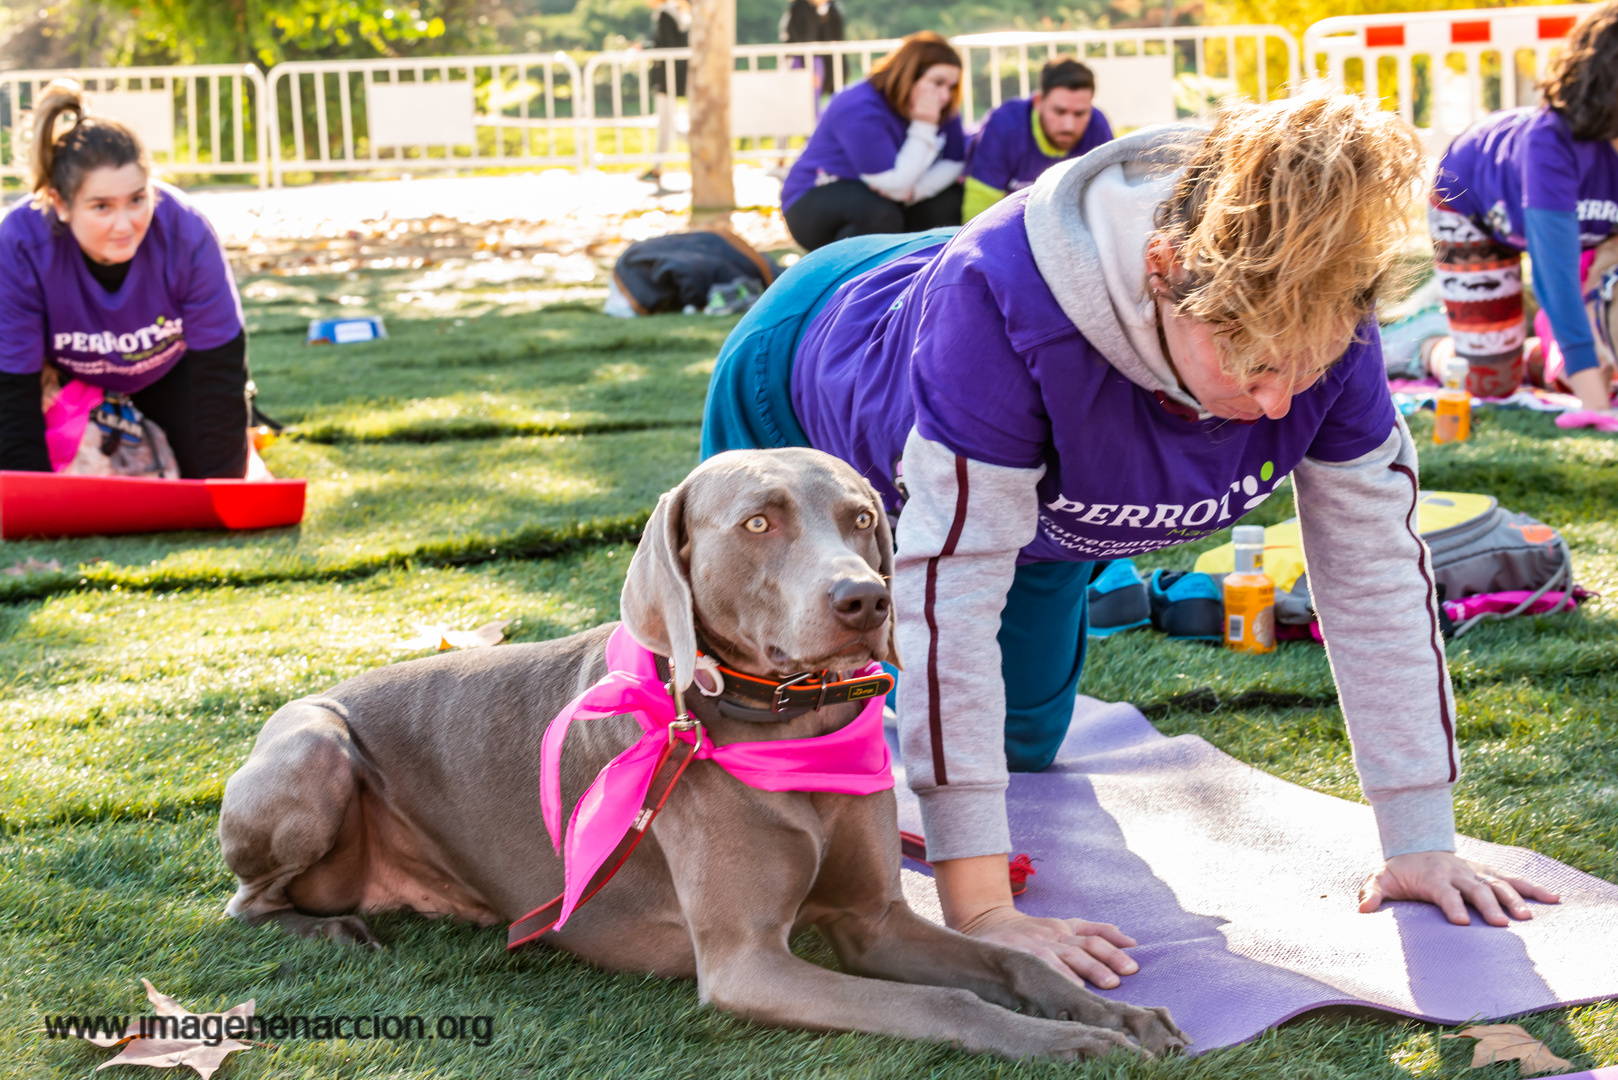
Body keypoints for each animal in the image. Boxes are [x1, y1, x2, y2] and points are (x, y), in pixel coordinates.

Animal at [218, 446, 1190, 1062]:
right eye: (758, 523)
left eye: (861, 517)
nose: (866, 599)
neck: (788, 728)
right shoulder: (748, 963)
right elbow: (945, 1001)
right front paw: (1071, 1042)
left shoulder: (874, 922)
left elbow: (1008, 962)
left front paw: (1115, 1015)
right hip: (313, 750)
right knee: (247, 902)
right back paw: (336, 930)